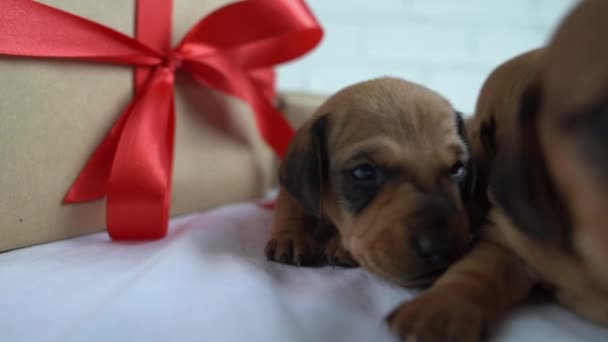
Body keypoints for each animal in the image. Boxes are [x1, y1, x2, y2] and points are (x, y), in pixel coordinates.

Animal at [266, 77, 480, 286]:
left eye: (458, 169)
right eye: (363, 172)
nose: (443, 247)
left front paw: (340, 246)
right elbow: (292, 206)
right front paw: (289, 236)